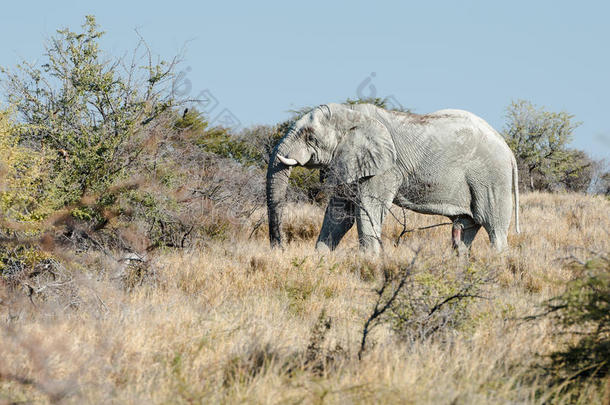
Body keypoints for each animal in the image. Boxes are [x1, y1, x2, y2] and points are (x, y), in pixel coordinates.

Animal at [264, 102, 516, 252]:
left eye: (310, 137)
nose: (279, 248)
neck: (352, 113)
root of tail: (508, 149)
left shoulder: (385, 168)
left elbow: (369, 208)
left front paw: (370, 261)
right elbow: (340, 213)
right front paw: (321, 258)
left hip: (492, 179)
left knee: (494, 228)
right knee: (467, 227)